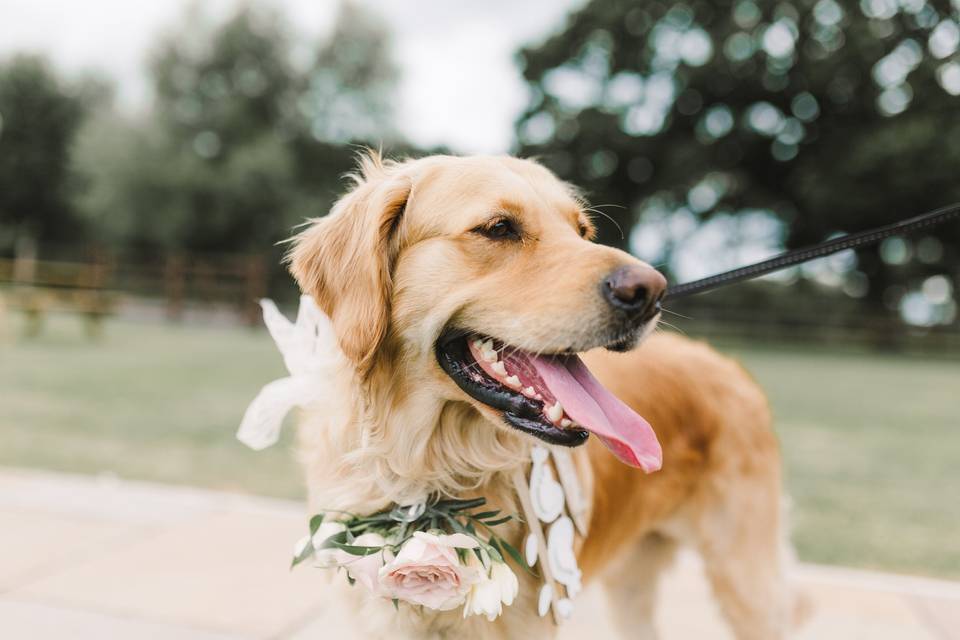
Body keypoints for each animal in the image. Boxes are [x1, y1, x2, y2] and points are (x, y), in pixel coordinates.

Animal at [288, 152, 800, 636]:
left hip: (745, 578)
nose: (652, 292)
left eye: (582, 231)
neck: (429, 467)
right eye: (499, 228)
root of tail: (731, 366)